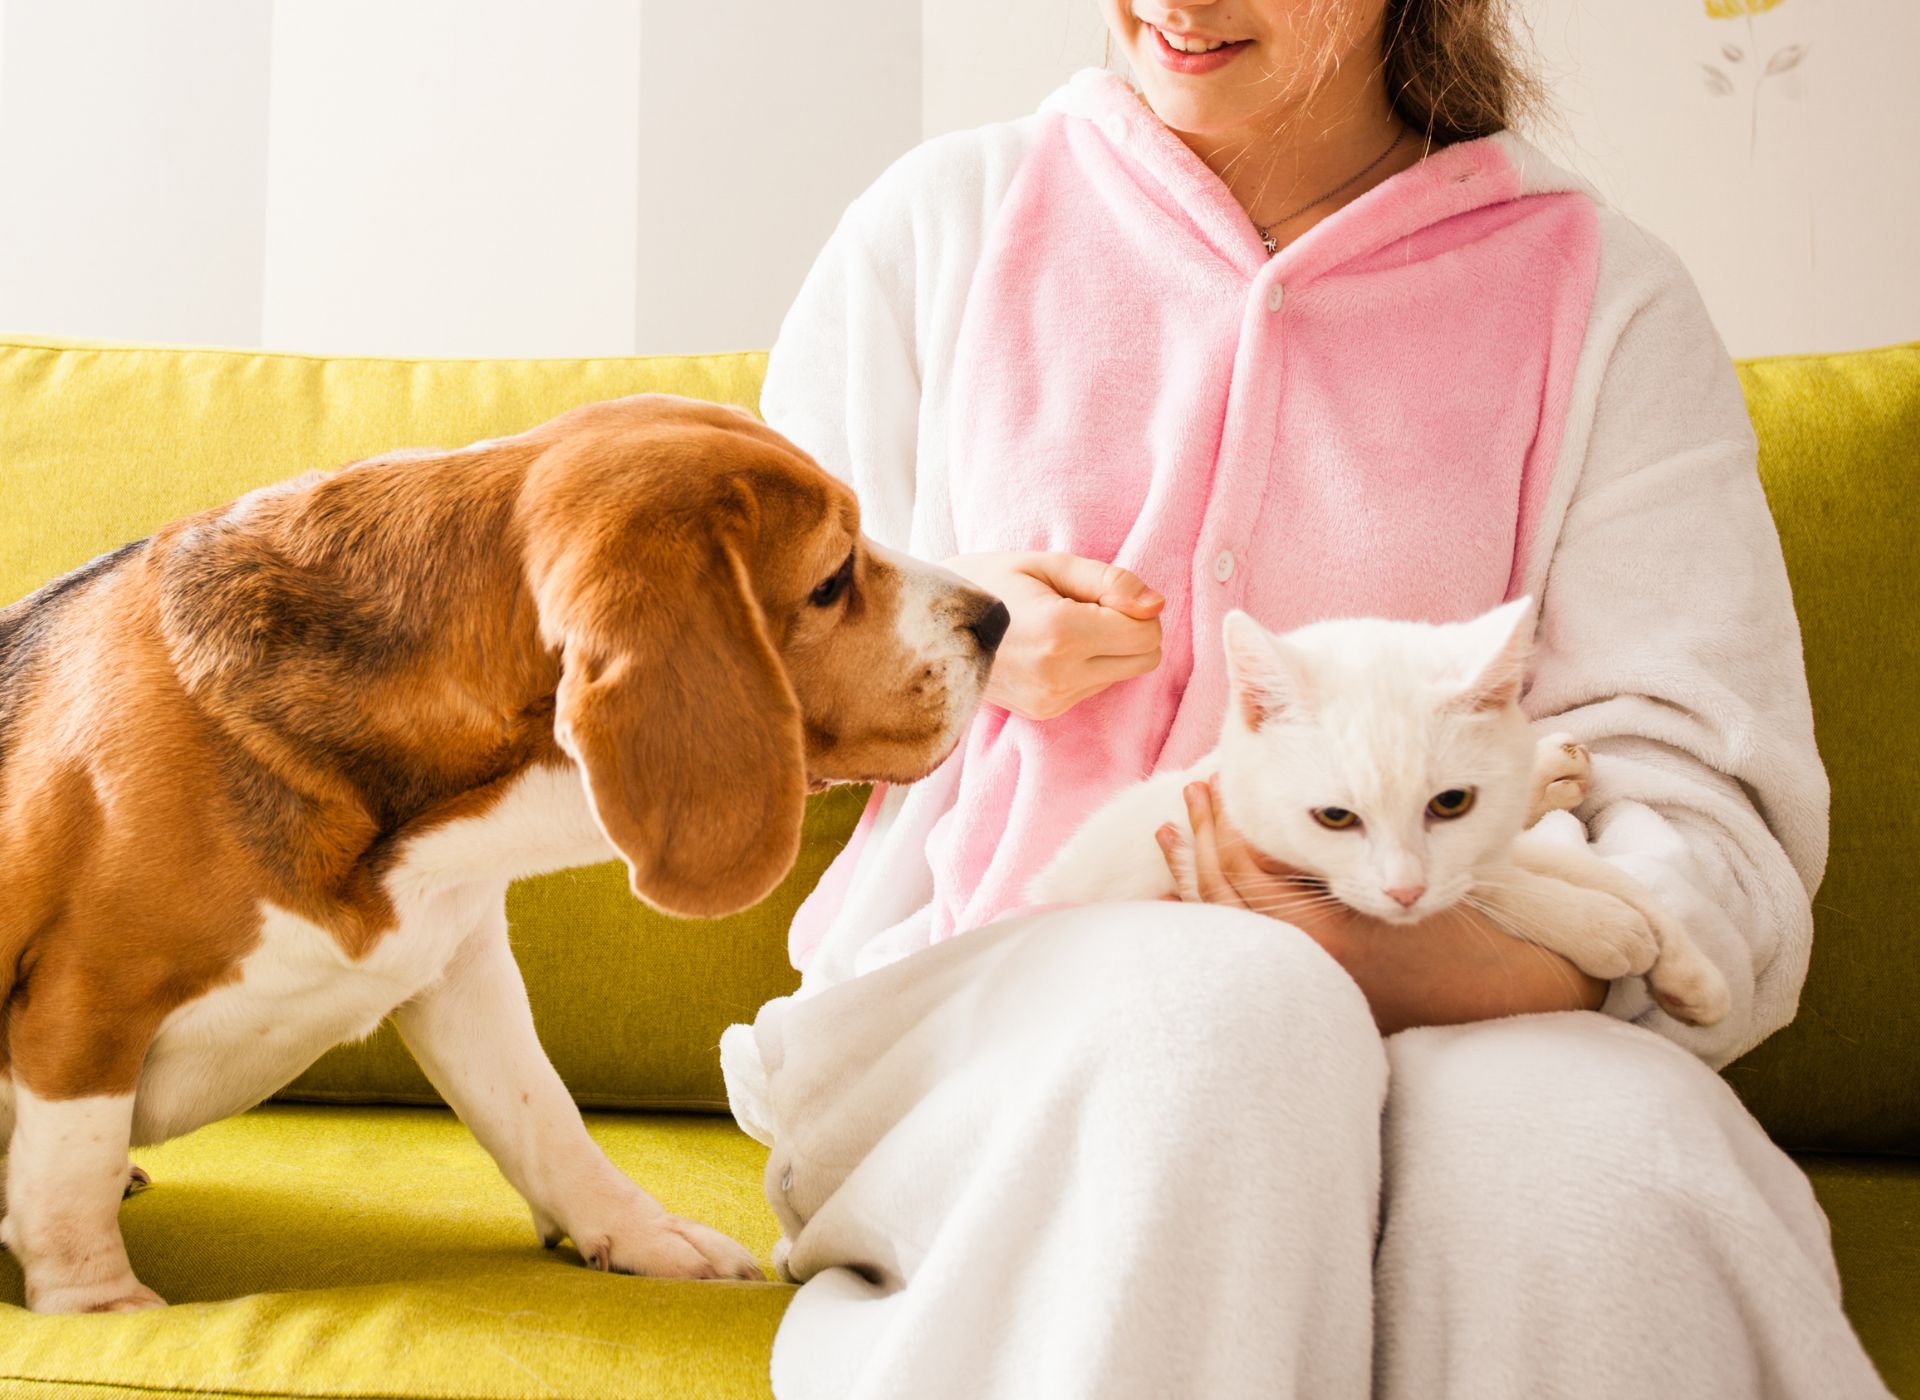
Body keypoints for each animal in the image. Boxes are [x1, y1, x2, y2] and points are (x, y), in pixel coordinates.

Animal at [0, 393, 1013, 1313]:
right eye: (832, 580)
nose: (997, 616)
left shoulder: (462, 972)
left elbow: (544, 1116)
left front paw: (641, 1232)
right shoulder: (88, 999)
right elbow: (70, 1174)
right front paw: (99, 1305)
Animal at [1029, 595, 1735, 1021]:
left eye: (1449, 803)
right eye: (1336, 818)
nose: (1403, 892)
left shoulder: (1484, 843)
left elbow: (1605, 874)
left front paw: (1692, 975)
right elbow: (1500, 892)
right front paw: (1599, 927)